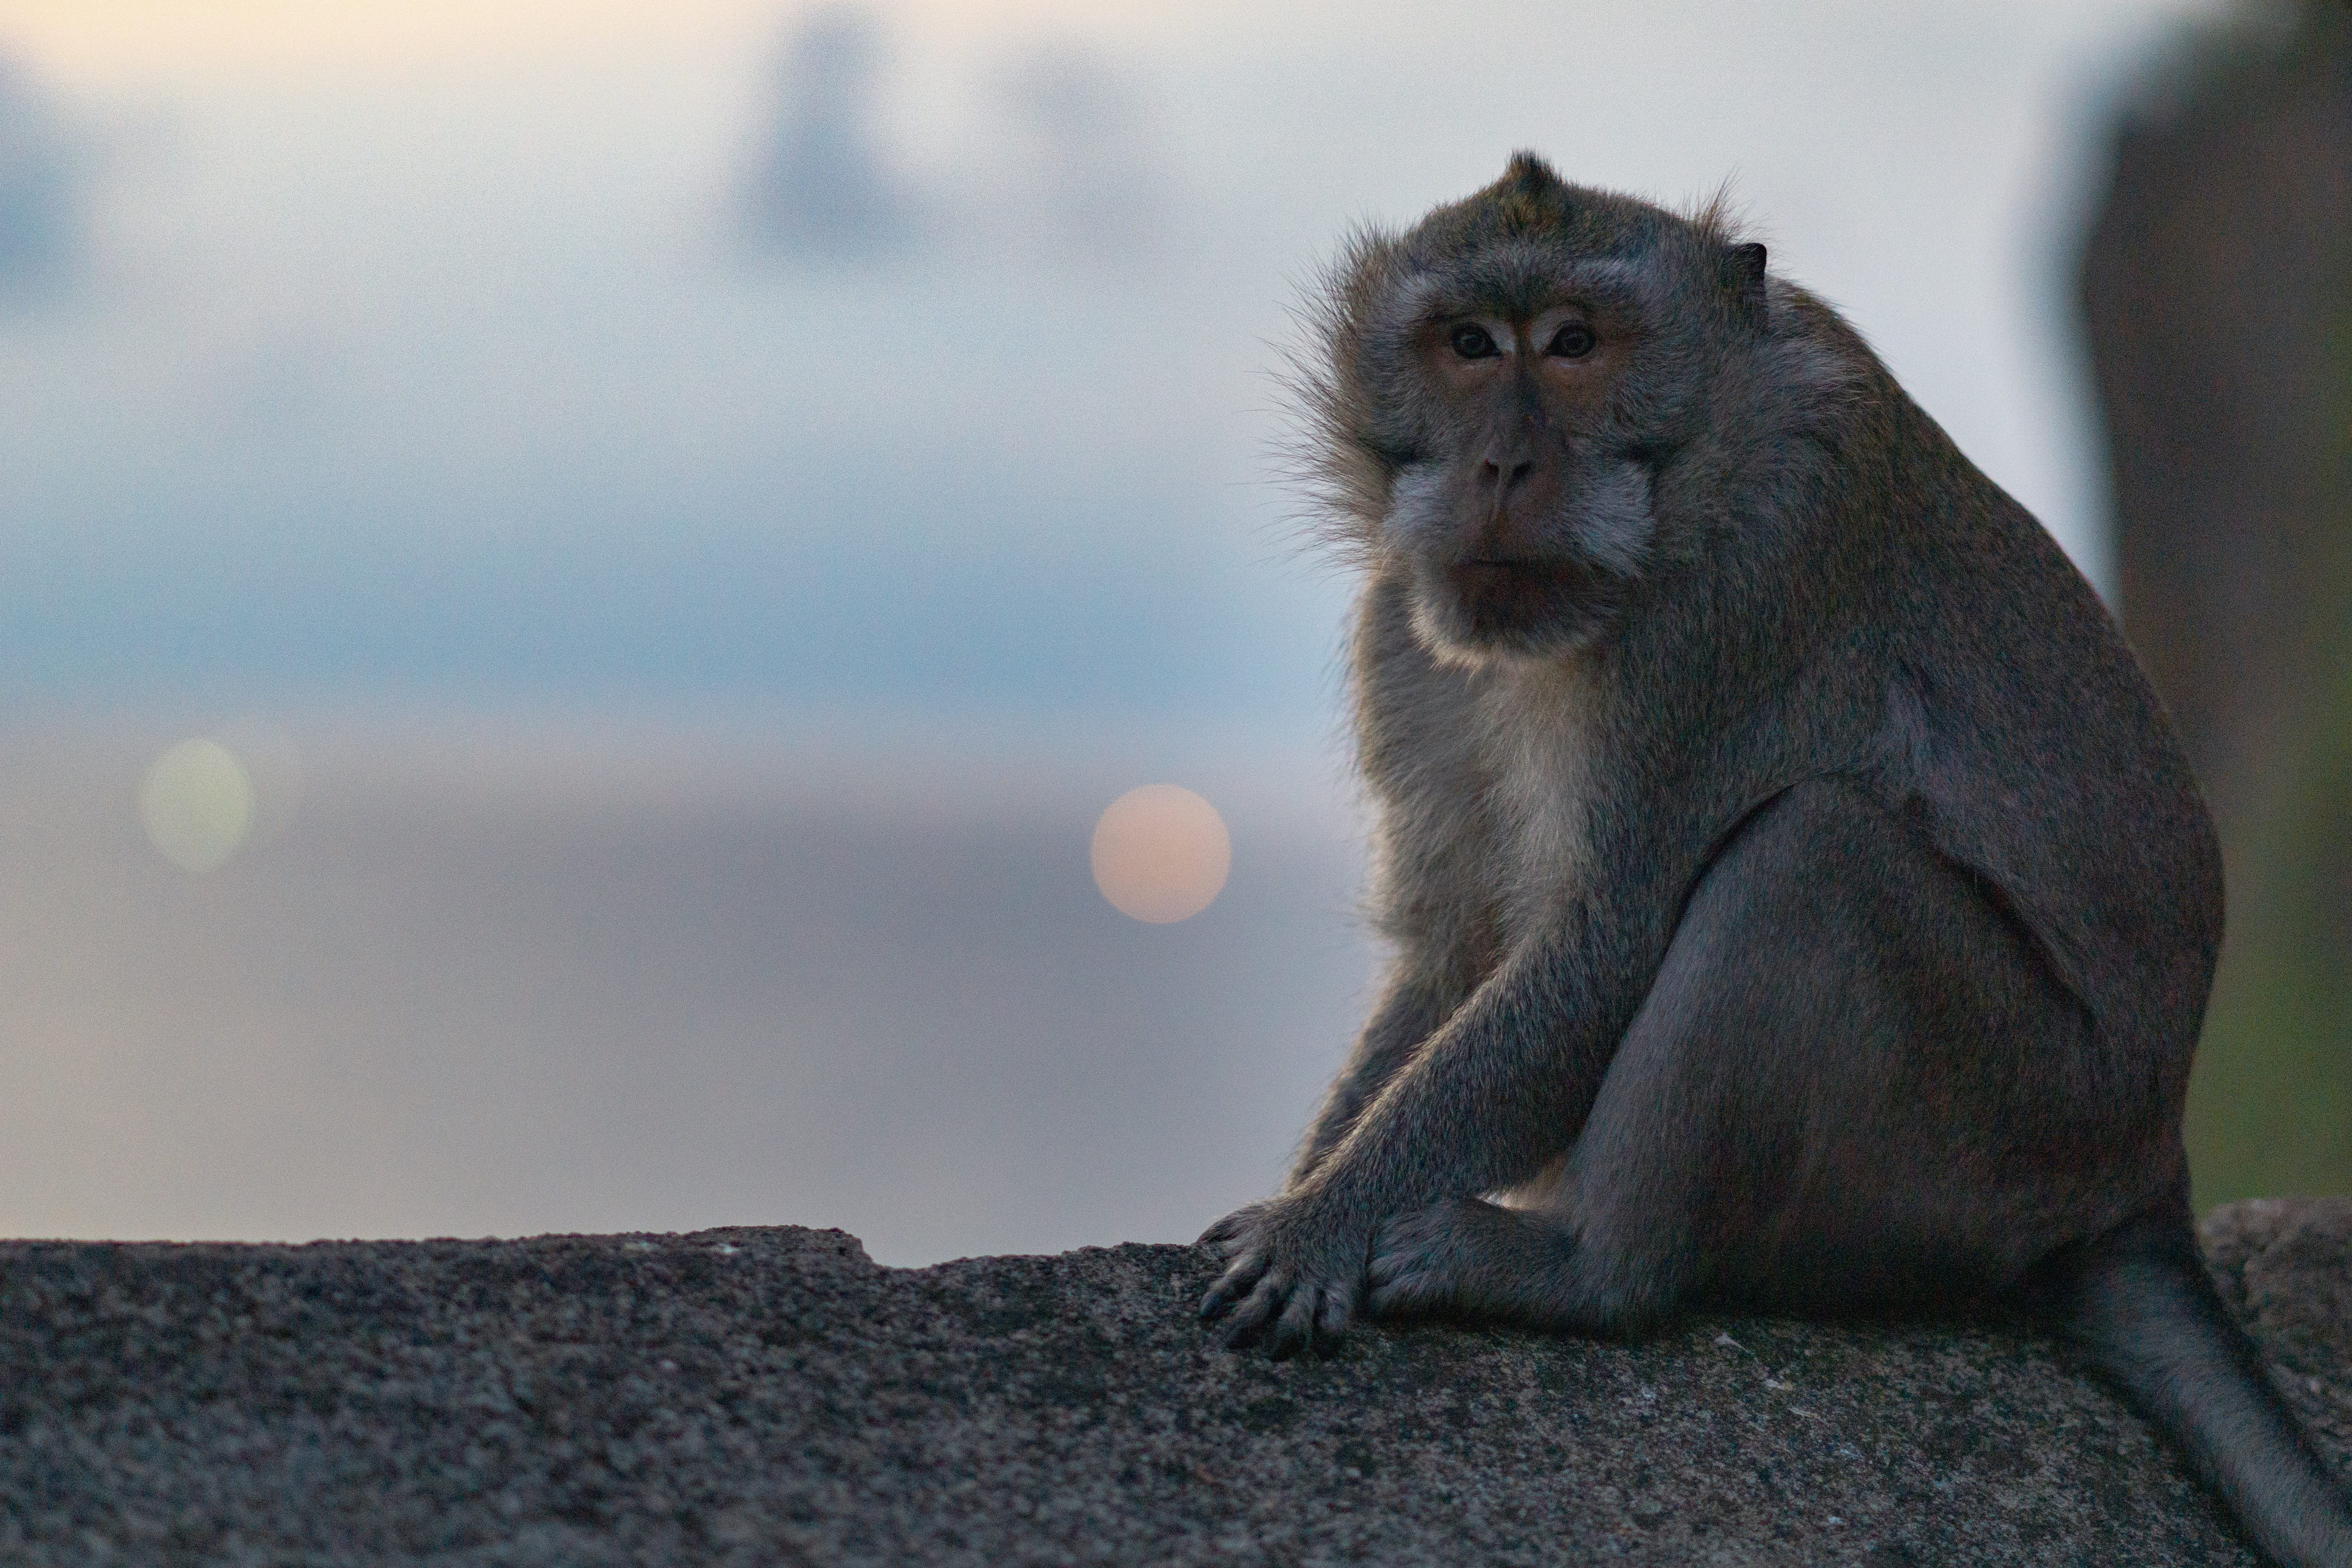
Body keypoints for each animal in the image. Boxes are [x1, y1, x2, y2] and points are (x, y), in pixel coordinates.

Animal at [1197, 154, 2352, 1567]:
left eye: (1575, 345)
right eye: (1468, 346)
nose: (1503, 464)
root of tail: (2143, 1173)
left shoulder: (1737, 602)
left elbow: (1608, 944)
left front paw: (1320, 1225)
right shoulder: (1409, 628)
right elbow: (1455, 945)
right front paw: (1306, 1190)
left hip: (1997, 1131)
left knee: (1812, 857)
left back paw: (1590, 1272)